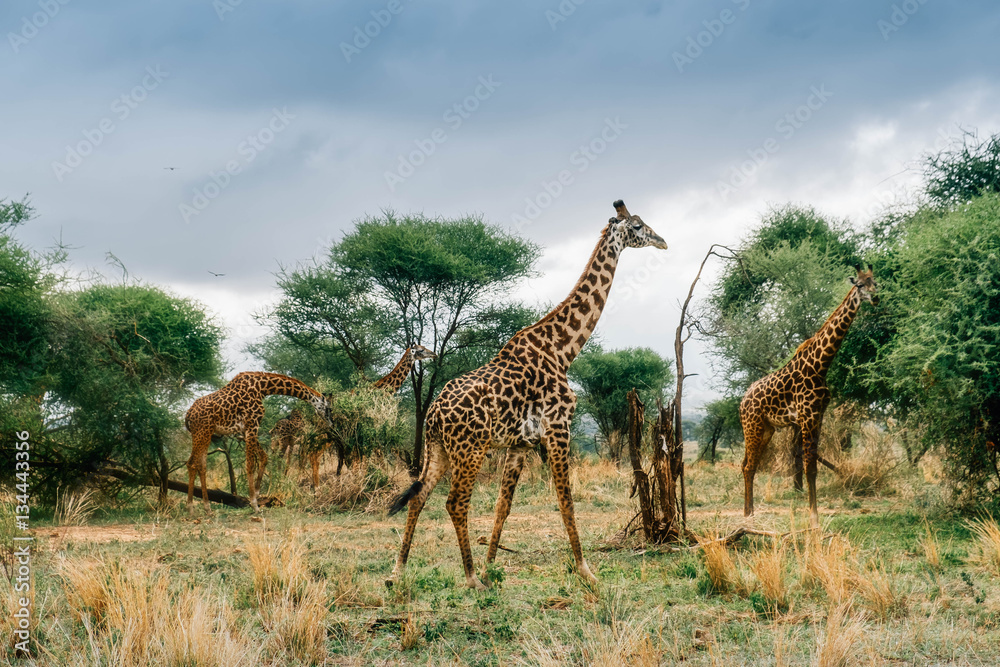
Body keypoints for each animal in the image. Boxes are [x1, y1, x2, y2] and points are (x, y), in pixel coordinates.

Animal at [184, 372, 332, 514]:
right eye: (328, 408)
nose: (330, 422)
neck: (263, 387)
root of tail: (188, 415)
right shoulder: (252, 424)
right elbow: (250, 464)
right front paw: (255, 505)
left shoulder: (246, 429)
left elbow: (263, 457)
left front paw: (256, 496)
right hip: (202, 432)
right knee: (192, 463)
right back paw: (191, 508)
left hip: (206, 433)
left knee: (200, 465)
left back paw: (207, 508)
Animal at [303, 345, 437, 487]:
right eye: (421, 350)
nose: (434, 354)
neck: (381, 390)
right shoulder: (375, 425)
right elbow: (377, 456)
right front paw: (379, 479)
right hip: (329, 434)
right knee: (315, 454)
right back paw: (317, 486)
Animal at [387, 200, 668, 590]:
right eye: (638, 226)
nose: (663, 241)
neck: (562, 349)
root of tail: (433, 414)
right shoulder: (559, 428)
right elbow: (566, 500)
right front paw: (585, 570)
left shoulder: (521, 443)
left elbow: (503, 506)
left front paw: (490, 565)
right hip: (470, 450)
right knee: (455, 502)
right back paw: (470, 578)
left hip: (438, 449)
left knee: (419, 497)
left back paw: (398, 571)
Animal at [739, 265, 879, 526]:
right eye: (860, 285)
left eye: (876, 282)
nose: (875, 298)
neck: (820, 365)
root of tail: (742, 401)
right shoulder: (807, 416)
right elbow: (809, 468)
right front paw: (814, 520)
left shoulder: (819, 416)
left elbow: (812, 467)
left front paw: (815, 516)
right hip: (752, 425)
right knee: (748, 465)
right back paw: (748, 516)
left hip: (767, 429)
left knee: (748, 465)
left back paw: (749, 514)